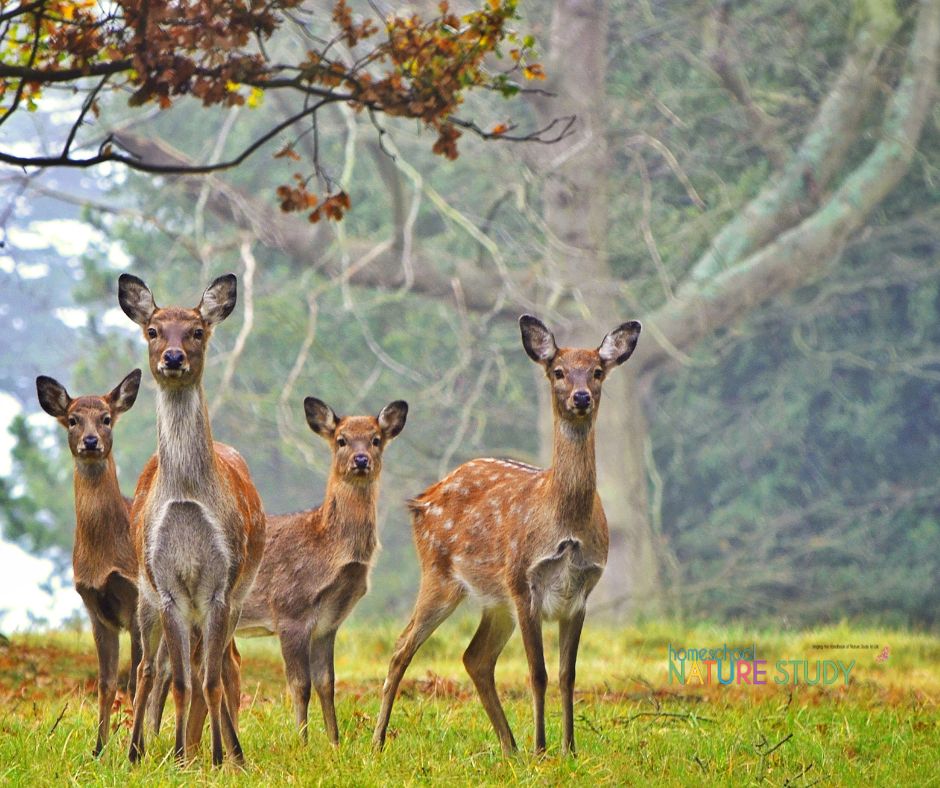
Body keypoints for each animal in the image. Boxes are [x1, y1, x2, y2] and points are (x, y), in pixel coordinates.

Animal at [35, 370, 143, 756]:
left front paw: (135, 751)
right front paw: (99, 750)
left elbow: (135, 680)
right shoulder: (95, 609)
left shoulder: (137, 599)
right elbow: (106, 682)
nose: (91, 441)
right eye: (73, 419)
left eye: (107, 418)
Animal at [117, 274, 266, 768]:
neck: (186, 497)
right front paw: (180, 754)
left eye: (197, 331)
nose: (173, 357)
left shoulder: (221, 583)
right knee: (150, 667)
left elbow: (210, 678)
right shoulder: (167, 587)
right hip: (144, 593)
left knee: (222, 665)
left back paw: (233, 751)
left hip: (237, 596)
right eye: (153, 330)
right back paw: (135, 750)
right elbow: (181, 680)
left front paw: (217, 758)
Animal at [235, 400, 408, 744]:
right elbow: (299, 686)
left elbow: (326, 683)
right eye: (341, 439)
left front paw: (334, 742)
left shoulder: (329, 623)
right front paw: (301, 742)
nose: (361, 459)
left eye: (376, 439)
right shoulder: (289, 610)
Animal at [372, 314, 640, 756]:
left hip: (494, 601)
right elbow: (539, 673)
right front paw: (542, 749)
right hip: (440, 574)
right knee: (402, 645)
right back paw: (377, 741)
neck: (565, 525)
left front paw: (569, 749)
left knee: (475, 658)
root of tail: (422, 500)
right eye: (558, 371)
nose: (581, 397)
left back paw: (508, 746)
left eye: (598, 371)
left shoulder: (581, 592)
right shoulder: (523, 580)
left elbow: (568, 675)